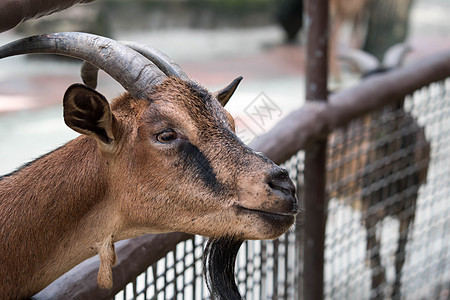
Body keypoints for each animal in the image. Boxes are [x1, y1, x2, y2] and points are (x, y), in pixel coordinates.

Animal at [326, 45, 428, 298]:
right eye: (366, 94)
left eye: (399, 97)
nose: (384, 122)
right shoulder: (369, 212)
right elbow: (376, 260)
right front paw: (378, 292)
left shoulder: (410, 207)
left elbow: (400, 255)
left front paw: (395, 292)